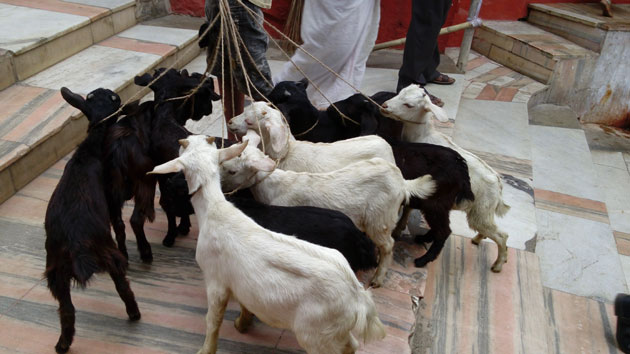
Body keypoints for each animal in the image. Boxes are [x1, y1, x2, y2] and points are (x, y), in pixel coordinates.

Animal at [45, 86, 141, 354]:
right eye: (114, 99)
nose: (109, 90)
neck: (88, 151)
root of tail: (75, 245)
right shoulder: (112, 199)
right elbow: (120, 226)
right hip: (107, 253)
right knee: (122, 285)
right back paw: (134, 313)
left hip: (55, 273)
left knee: (67, 310)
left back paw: (62, 345)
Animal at [149, 135, 386, 352]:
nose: (185, 138)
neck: (215, 210)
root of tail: (358, 297)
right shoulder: (240, 283)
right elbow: (244, 304)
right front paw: (242, 324)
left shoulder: (216, 281)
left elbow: (213, 321)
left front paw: (207, 349)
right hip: (333, 331)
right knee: (351, 345)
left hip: (315, 335)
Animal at [221, 147, 434, 288]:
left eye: (233, 171)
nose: (221, 187)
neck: (275, 186)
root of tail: (403, 183)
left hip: (379, 218)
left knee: (388, 245)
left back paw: (378, 278)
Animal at [382, 84, 512, 272]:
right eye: (399, 93)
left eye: (409, 105)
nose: (384, 106)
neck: (423, 136)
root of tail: (499, 184)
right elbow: (408, 206)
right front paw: (400, 227)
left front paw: (399, 229)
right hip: (481, 211)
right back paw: (476, 240)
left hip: (478, 210)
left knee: (501, 235)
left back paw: (498, 264)